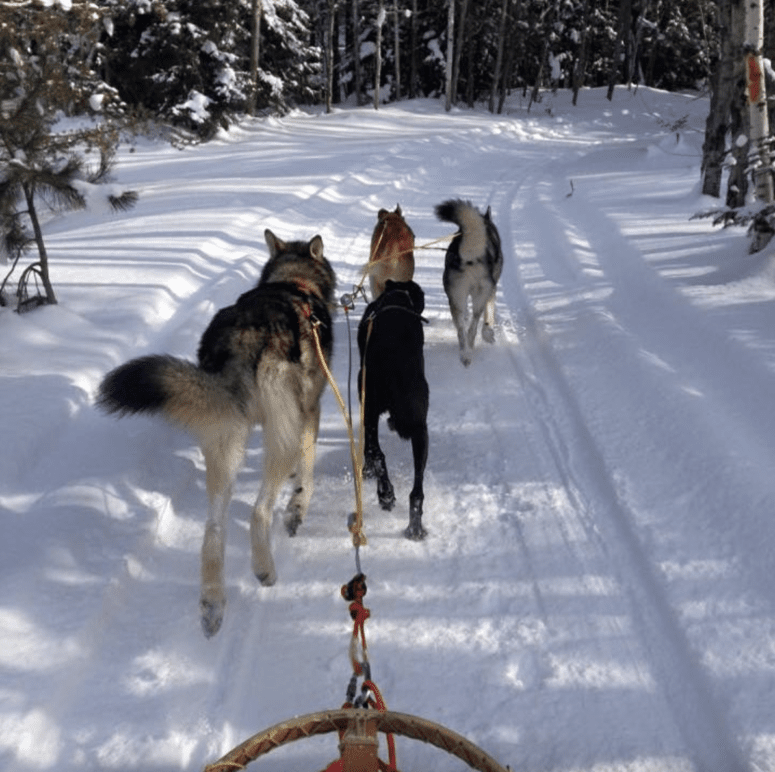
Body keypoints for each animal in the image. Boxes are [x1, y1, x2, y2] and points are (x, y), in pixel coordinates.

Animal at [97, 229, 336, 640]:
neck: (294, 282)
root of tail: (241, 336)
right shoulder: (309, 411)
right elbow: (305, 471)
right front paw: (298, 508)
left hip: (225, 442)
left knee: (213, 530)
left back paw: (212, 604)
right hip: (274, 436)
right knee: (258, 511)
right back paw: (264, 569)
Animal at [358, 280, 430, 540]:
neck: (397, 297)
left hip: (369, 409)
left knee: (377, 453)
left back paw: (385, 493)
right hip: (420, 430)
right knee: (417, 492)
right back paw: (414, 527)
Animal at [436, 199, 504, 368]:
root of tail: (470, 256)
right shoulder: (491, 291)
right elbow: (488, 315)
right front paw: (488, 334)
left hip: (456, 298)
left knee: (461, 330)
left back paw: (465, 354)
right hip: (480, 295)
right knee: (473, 326)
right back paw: (470, 348)